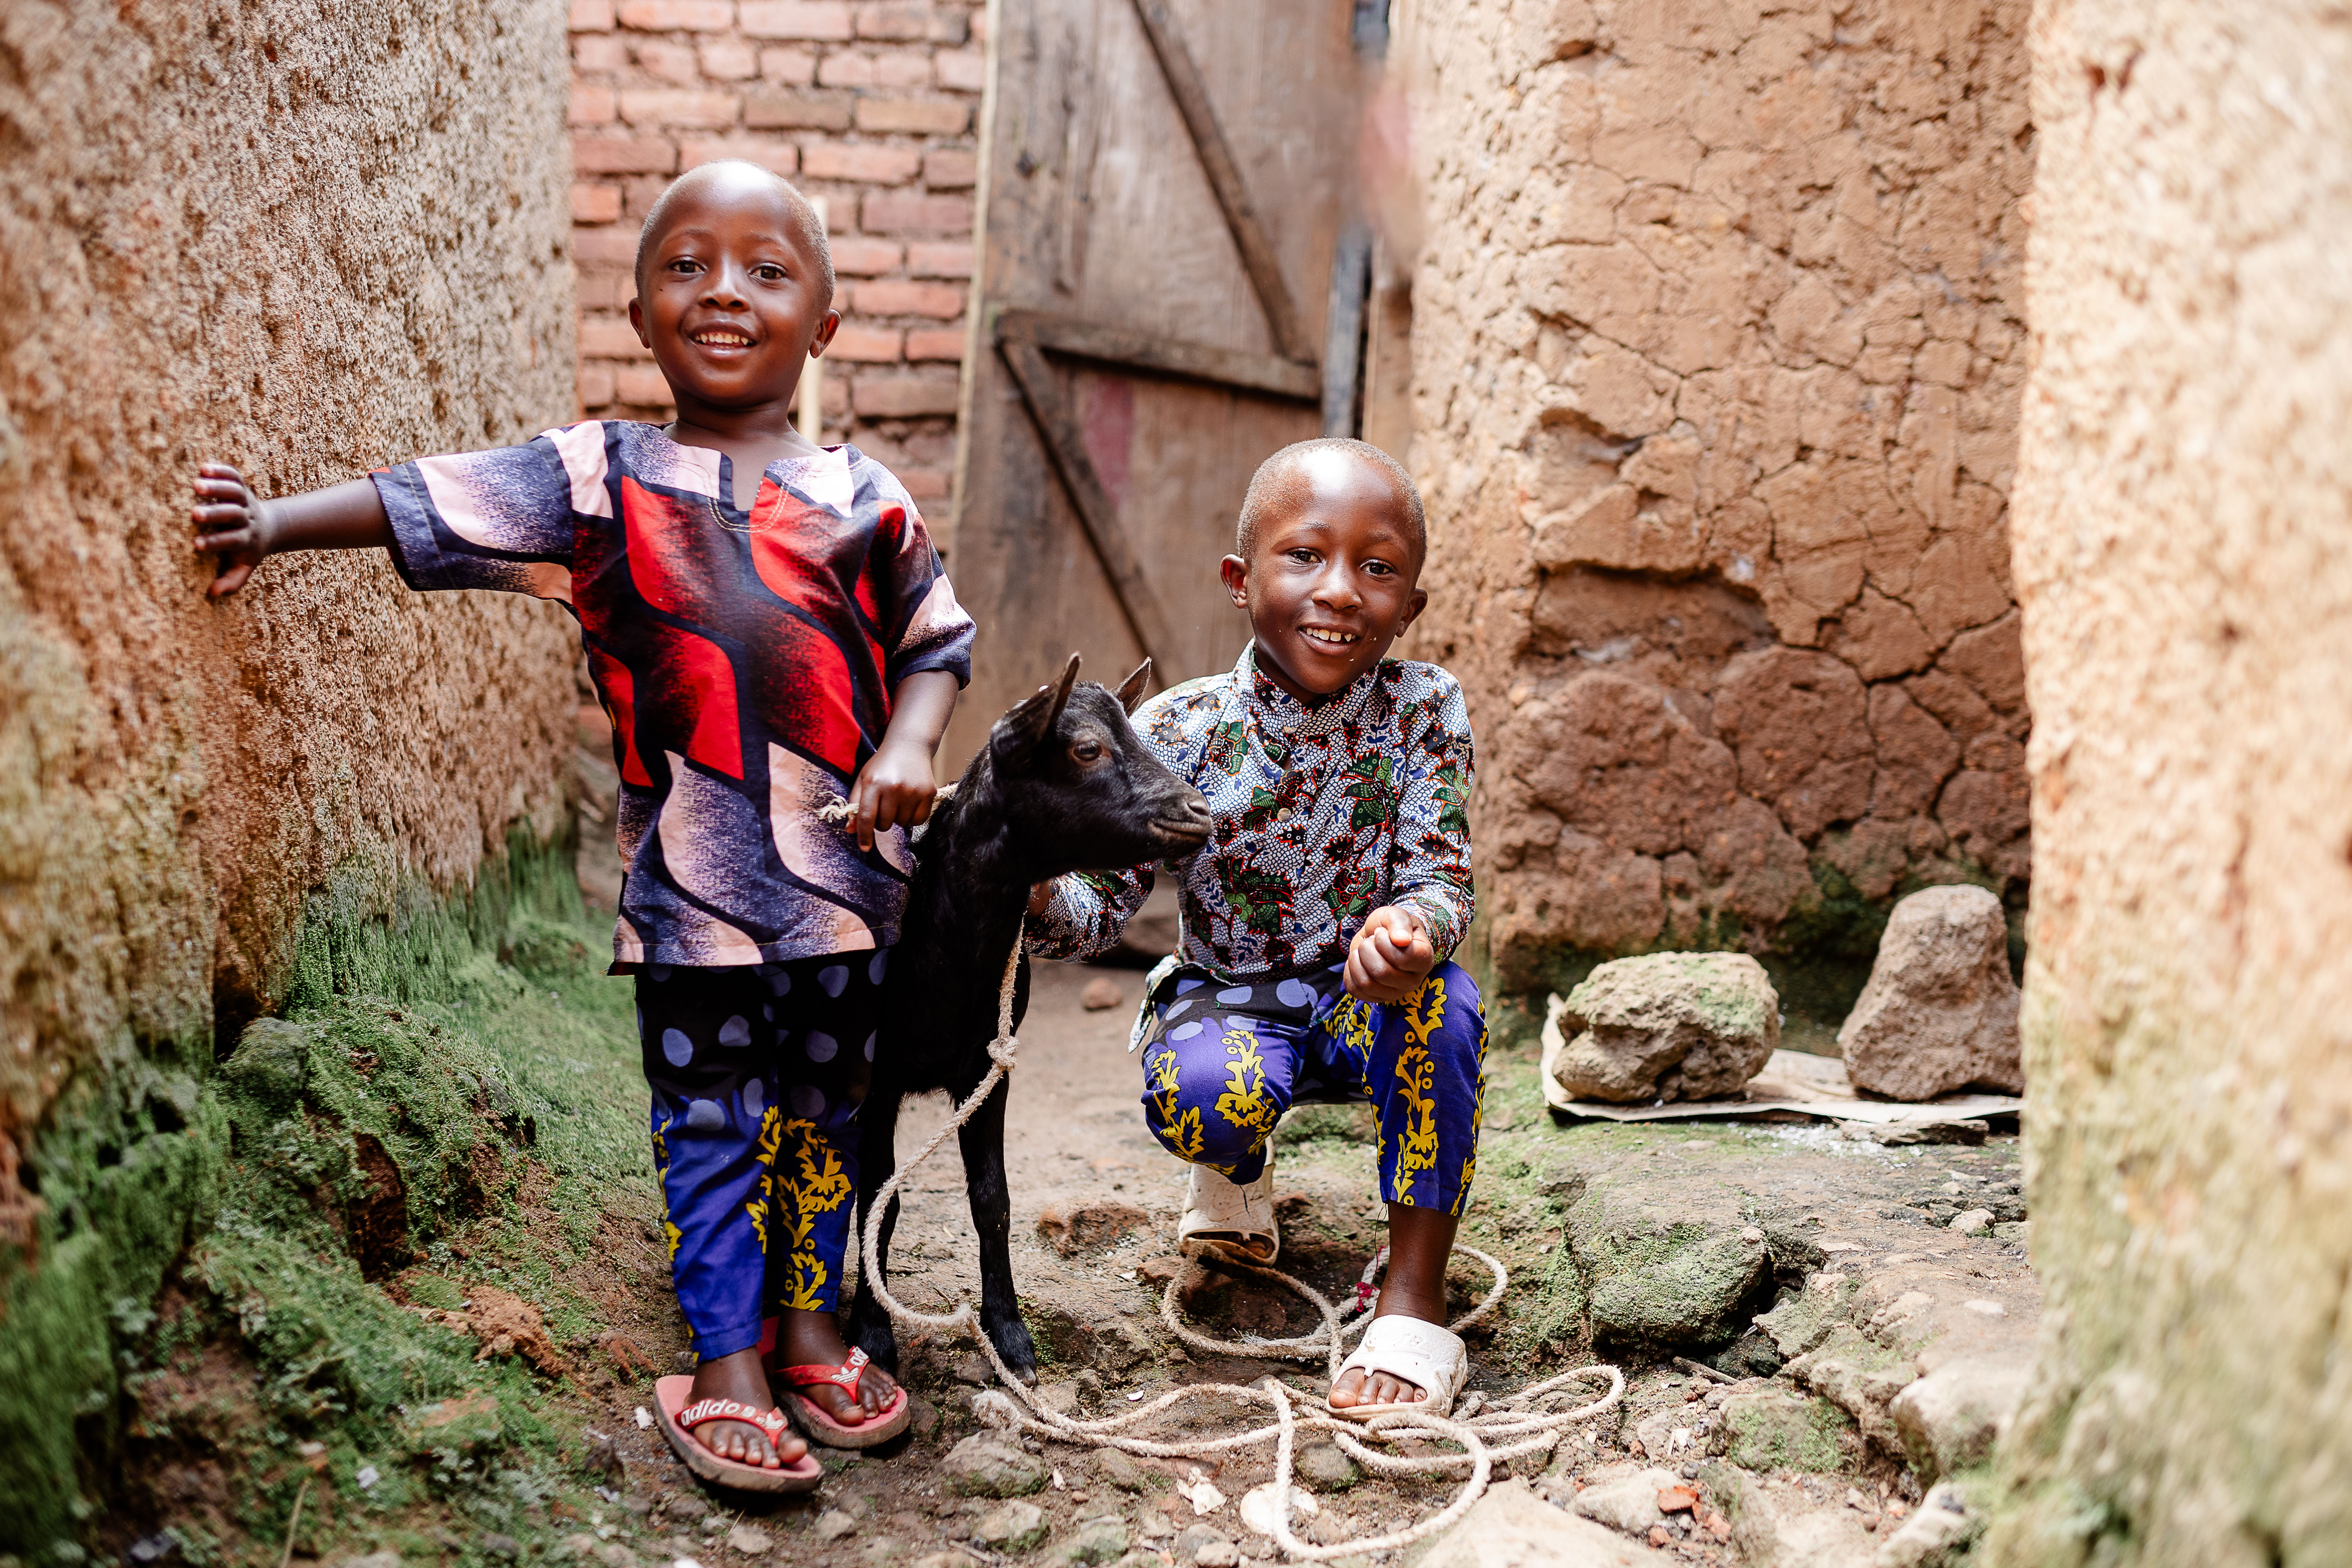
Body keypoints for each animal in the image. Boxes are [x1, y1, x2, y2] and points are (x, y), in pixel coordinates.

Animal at [847, 658, 1213, 1382]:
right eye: (1087, 750)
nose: (1199, 812)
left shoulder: (988, 1067)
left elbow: (993, 1200)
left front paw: (1011, 1338)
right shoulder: (876, 1076)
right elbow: (881, 1200)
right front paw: (871, 1333)